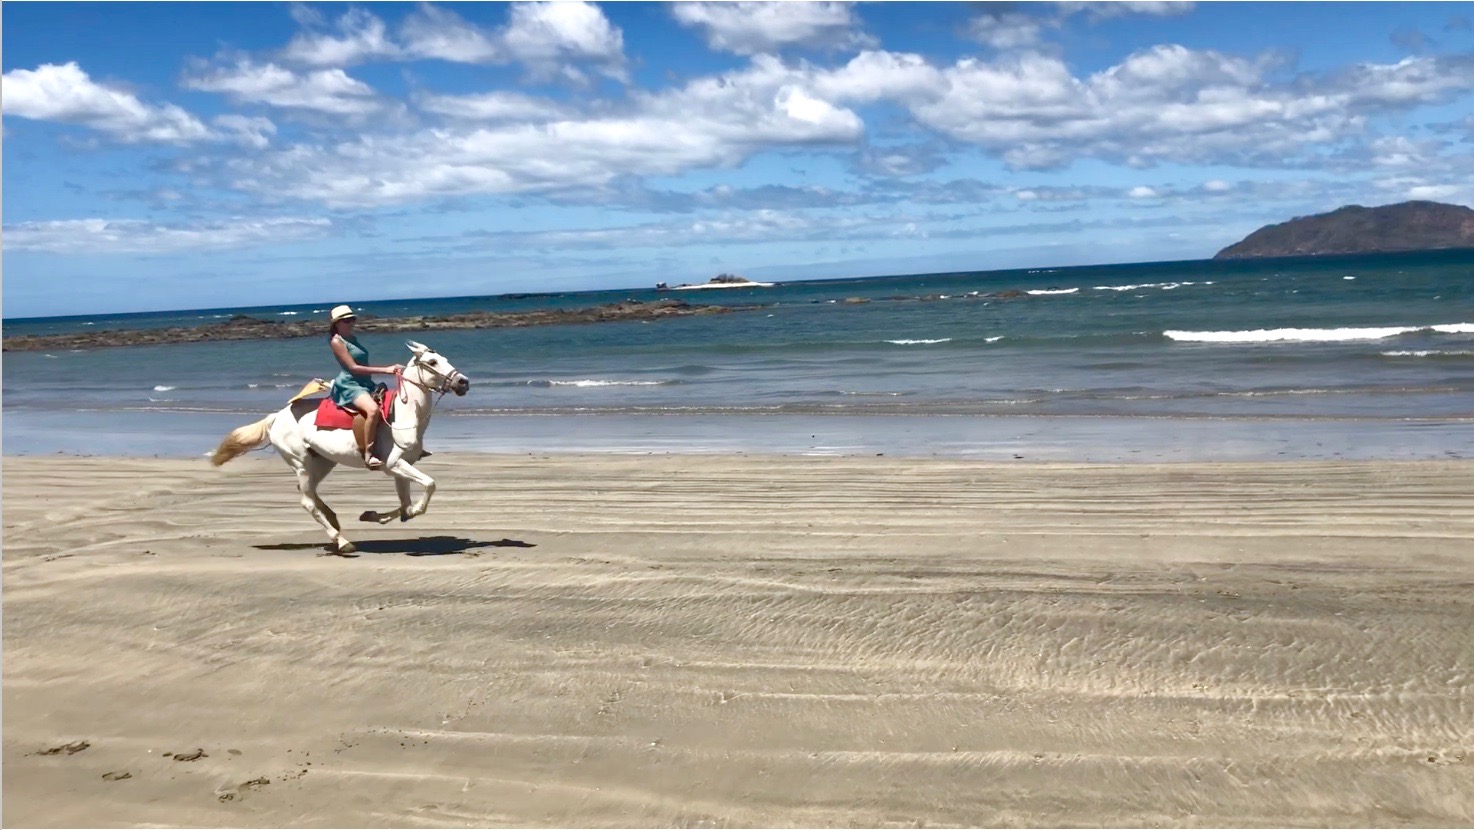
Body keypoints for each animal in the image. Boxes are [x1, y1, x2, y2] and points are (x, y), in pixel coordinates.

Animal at [207, 340, 468, 554]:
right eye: (432, 362)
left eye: (444, 358)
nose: (463, 382)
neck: (403, 415)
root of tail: (276, 417)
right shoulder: (394, 464)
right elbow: (429, 485)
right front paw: (403, 513)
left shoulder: (399, 468)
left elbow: (406, 504)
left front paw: (374, 515)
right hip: (301, 463)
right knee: (307, 502)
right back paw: (342, 541)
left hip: (322, 462)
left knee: (310, 493)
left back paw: (334, 520)